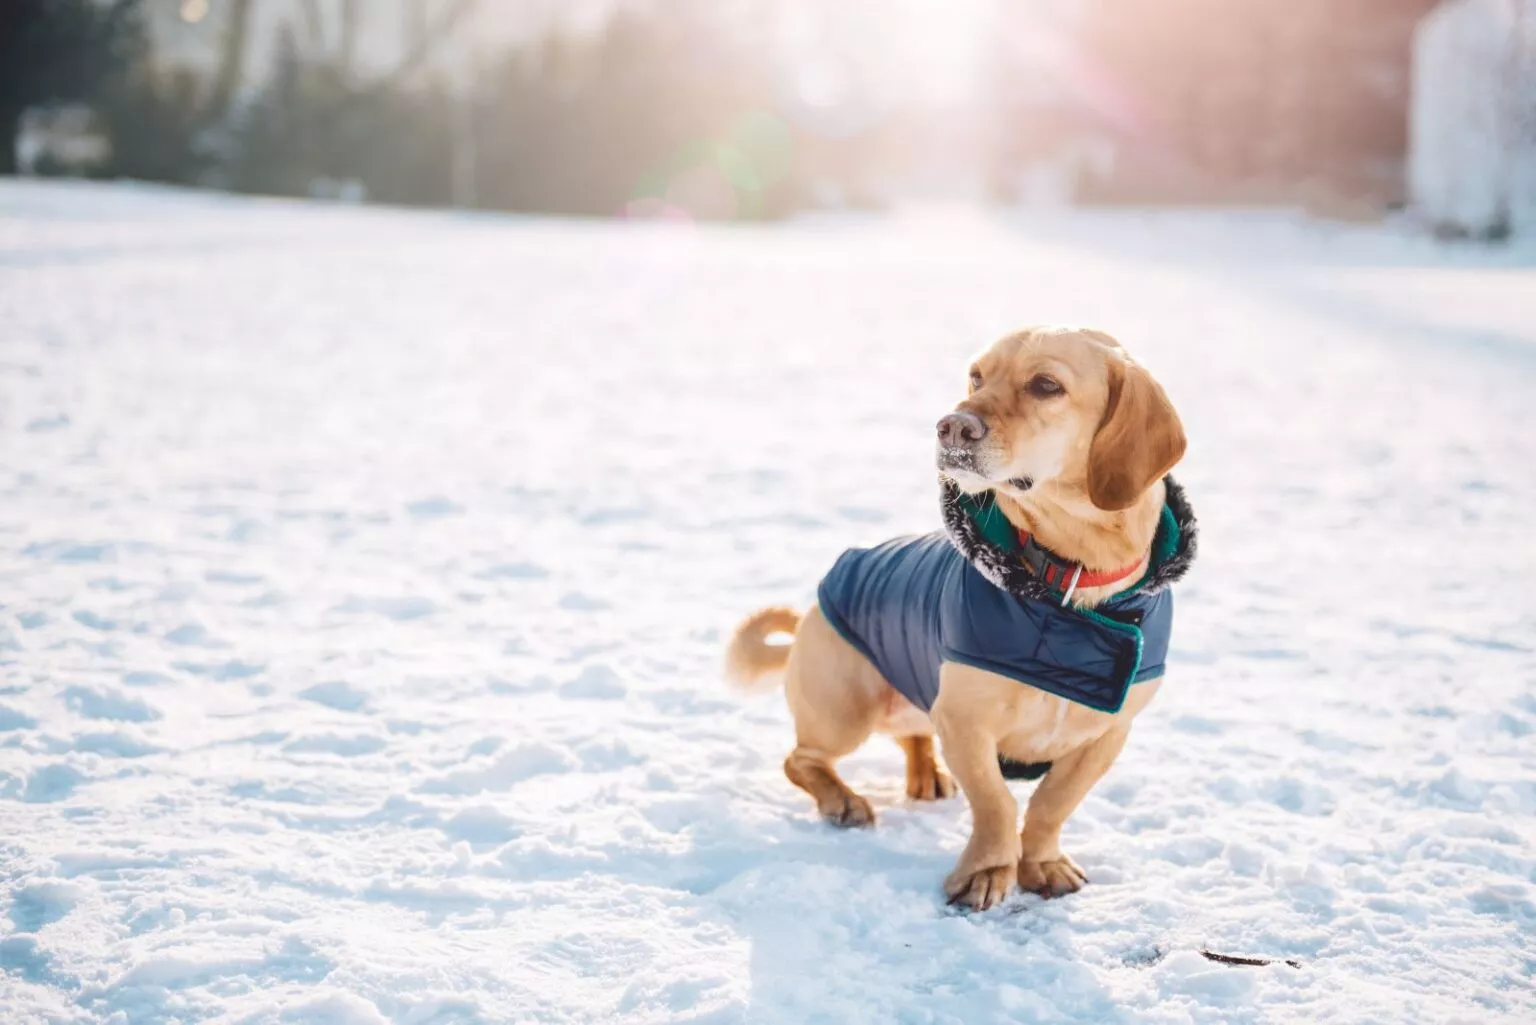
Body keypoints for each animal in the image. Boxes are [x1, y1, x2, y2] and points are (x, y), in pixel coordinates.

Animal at [724, 328, 1191, 915]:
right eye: (976, 376)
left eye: (1046, 385)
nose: (951, 426)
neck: (1069, 581)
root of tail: (810, 608)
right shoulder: (966, 721)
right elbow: (997, 804)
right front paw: (987, 873)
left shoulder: (1106, 736)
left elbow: (1052, 803)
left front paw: (1042, 863)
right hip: (846, 711)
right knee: (799, 759)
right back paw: (843, 801)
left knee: (911, 737)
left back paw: (926, 774)